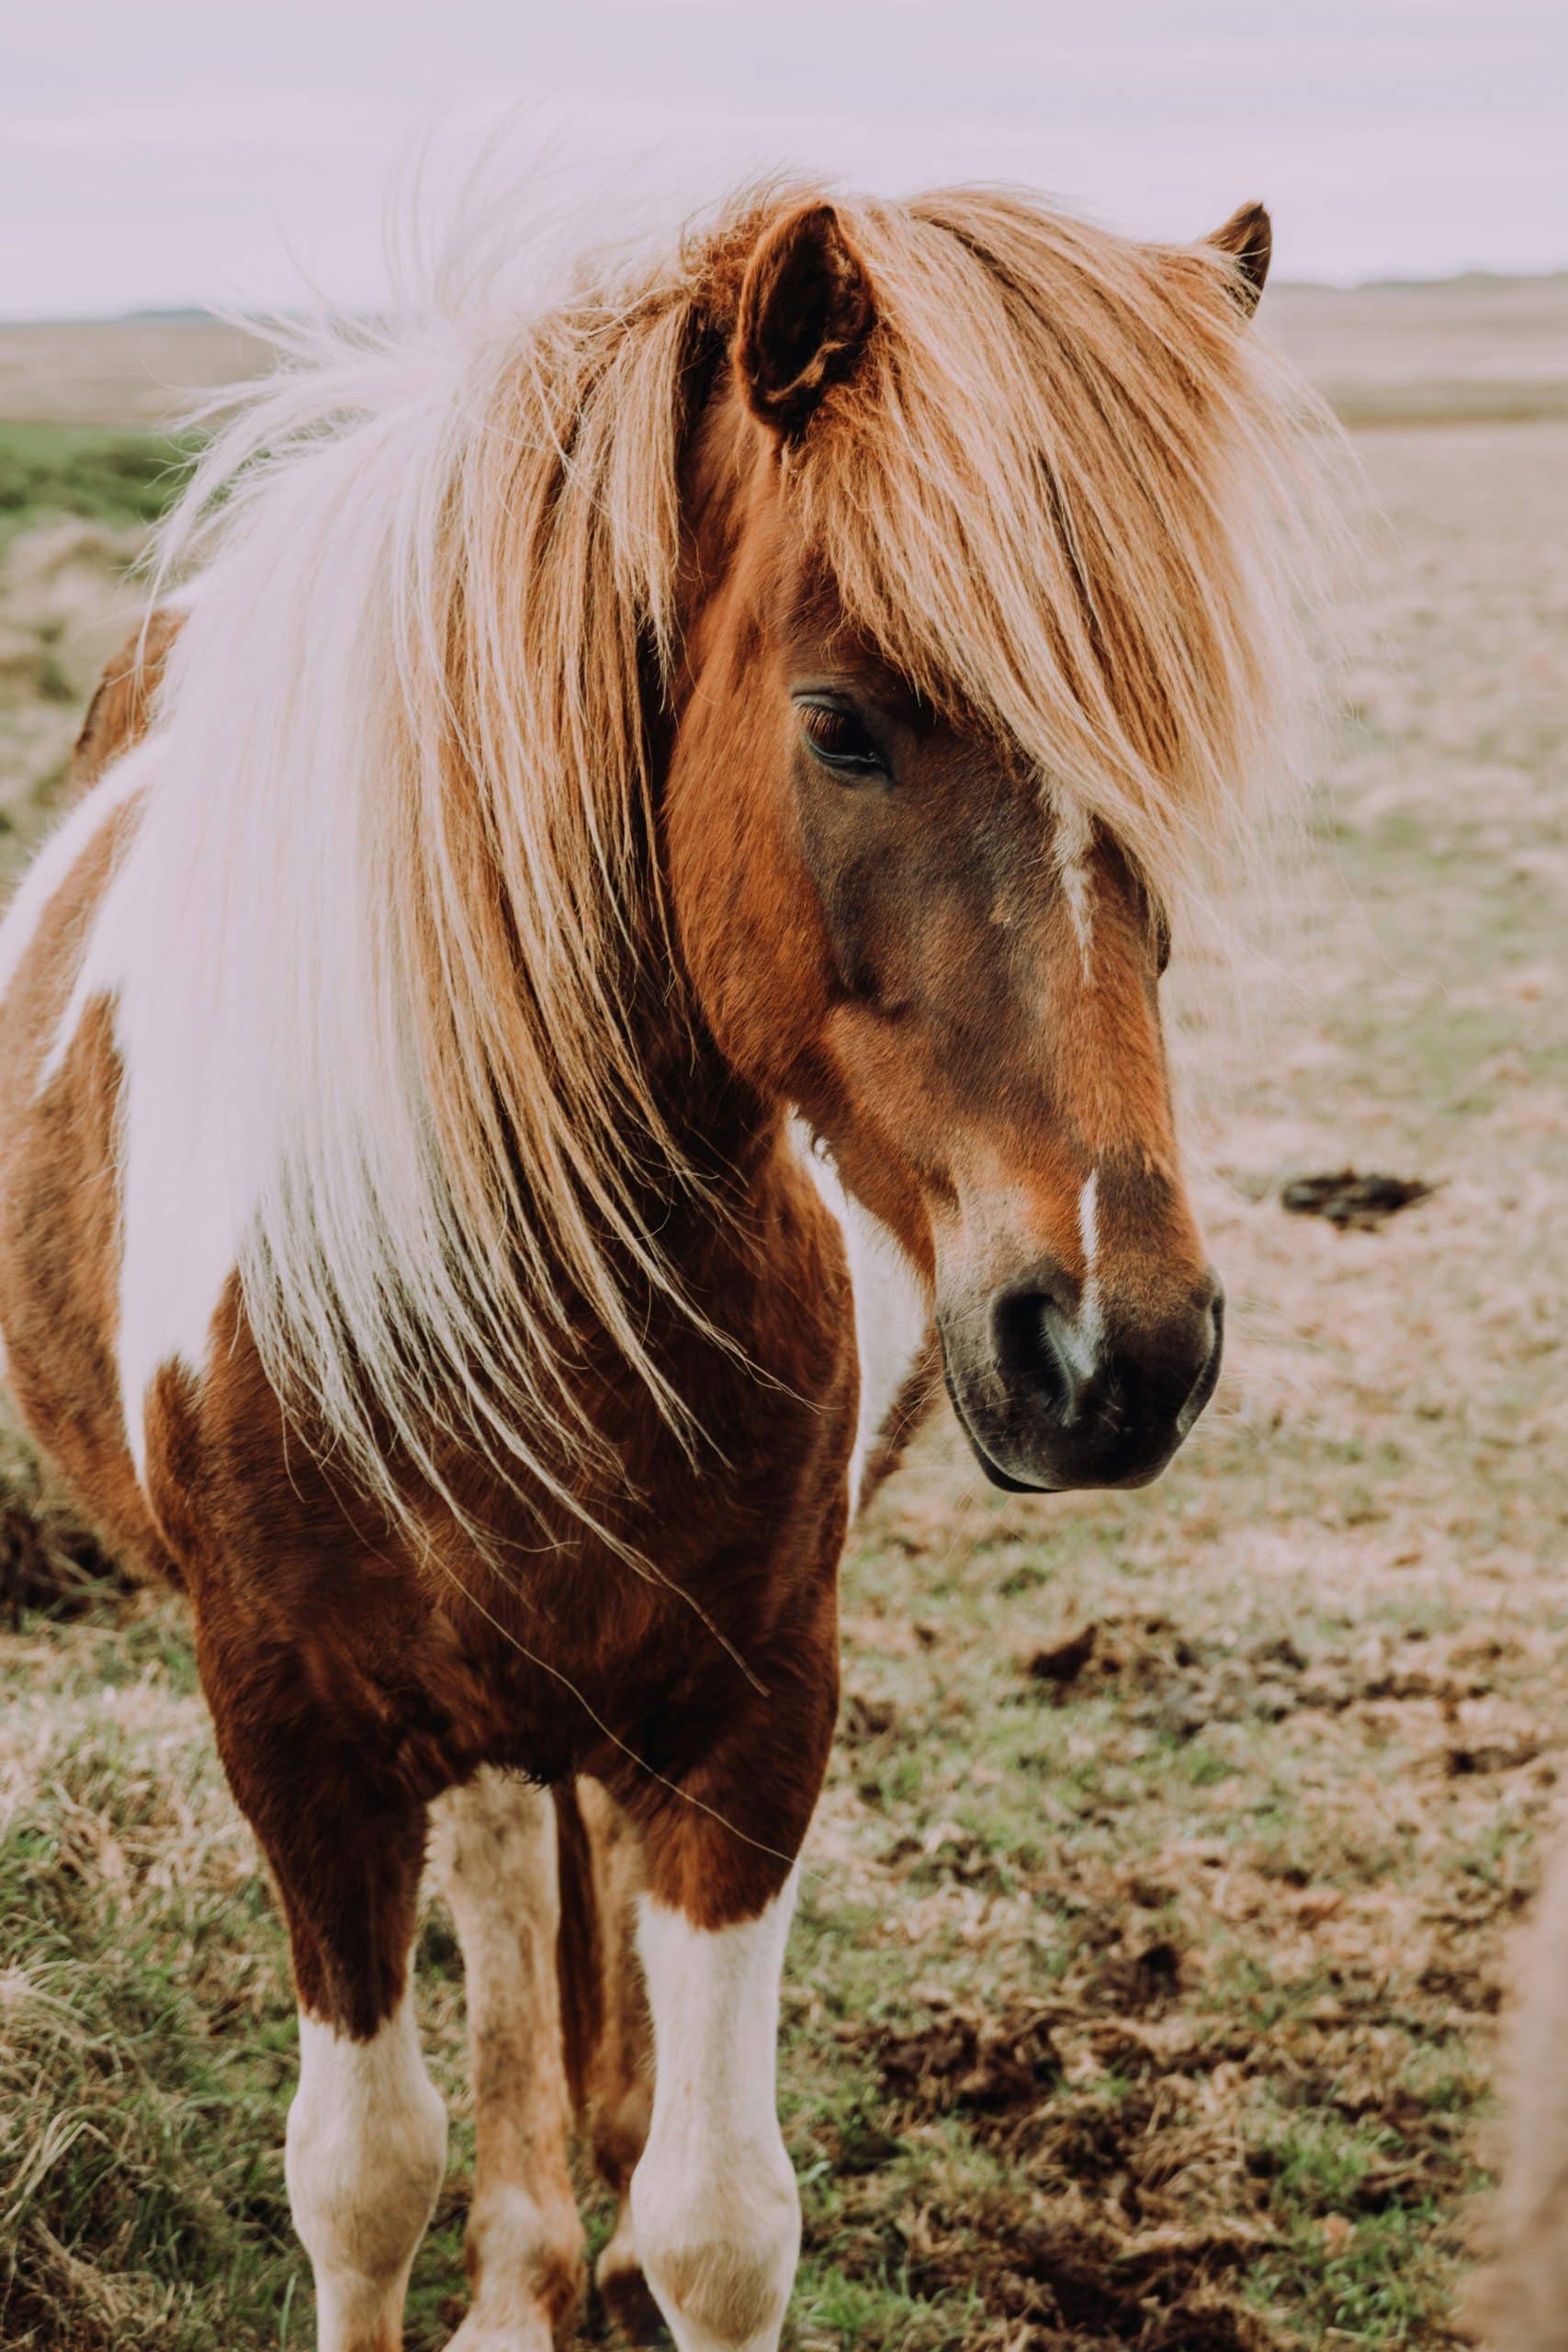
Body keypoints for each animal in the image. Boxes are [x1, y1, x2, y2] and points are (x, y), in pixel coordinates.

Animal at [0, 181, 1325, 2351]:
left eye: (1161, 740)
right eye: (841, 723)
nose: (1115, 1347)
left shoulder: (753, 1710)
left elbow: (718, 2214)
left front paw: (626, 2228)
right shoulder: (288, 1725)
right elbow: (360, 2174)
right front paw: (485, 2246)